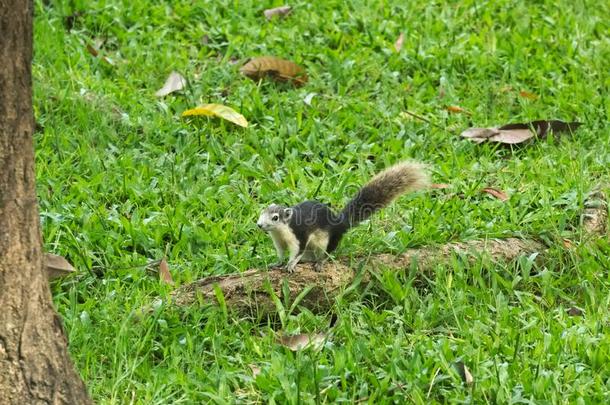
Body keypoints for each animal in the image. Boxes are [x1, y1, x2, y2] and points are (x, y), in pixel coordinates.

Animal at [256, 161, 428, 272]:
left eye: (275, 218)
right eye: (261, 212)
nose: (259, 225)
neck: (280, 232)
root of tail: (340, 223)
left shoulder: (299, 236)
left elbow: (296, 252)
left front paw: (291, 265)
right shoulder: (278, 242)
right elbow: (280, 254)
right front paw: (276, 263)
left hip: (327, 240)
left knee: (327, 252)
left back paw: (320, 263)